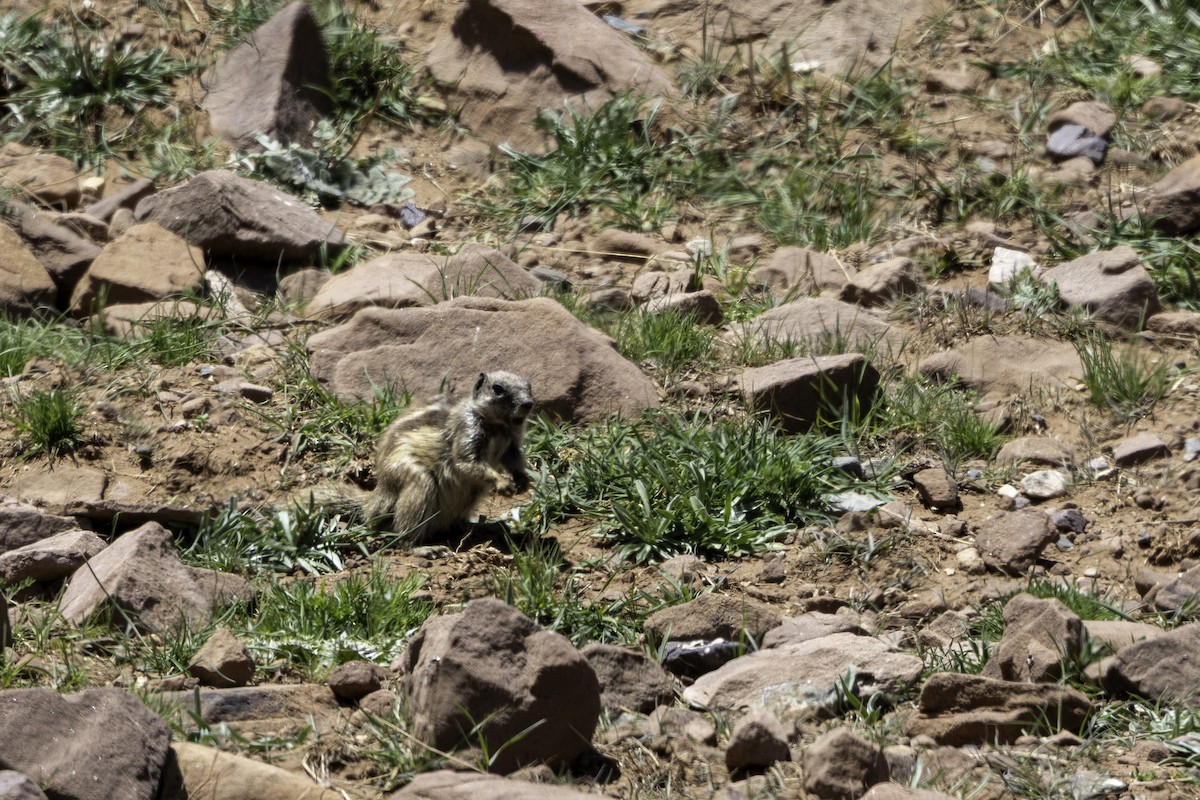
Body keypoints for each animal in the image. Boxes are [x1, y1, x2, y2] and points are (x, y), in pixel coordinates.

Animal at [307, 370, 534, 545]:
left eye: (529, 385)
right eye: (497, 388)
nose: (528, 404)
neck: (499, 426)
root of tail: (374, 501)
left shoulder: (512, 444)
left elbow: (514, 459)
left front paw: (523, 481)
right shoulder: (466, 429)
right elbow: (466, 462)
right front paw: (503, 483)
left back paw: (483, 527)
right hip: (418, 482)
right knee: (403, 535)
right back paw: (424, 548)